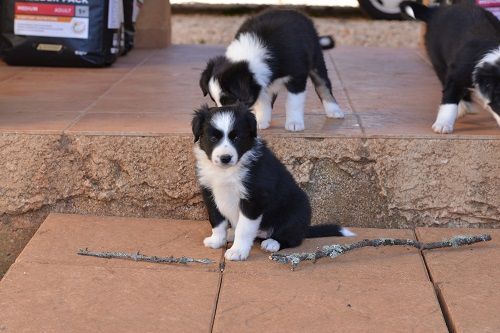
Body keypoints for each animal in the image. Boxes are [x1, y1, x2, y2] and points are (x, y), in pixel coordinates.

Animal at [190, 103, 352, 260]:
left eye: (237, 138)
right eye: (213, 139)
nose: (225, 158)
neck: (225, 172)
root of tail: (305, 229)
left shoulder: (254, 198)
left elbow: (244, 229)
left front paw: (238, 251)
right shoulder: (210, 193)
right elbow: (216, 221)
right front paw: (217, 241)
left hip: (296, 212)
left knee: (292, 238)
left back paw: (272, 243)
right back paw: (232, 233)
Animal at [199, 9, 344, 132]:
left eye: (231, 101)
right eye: (214, 101)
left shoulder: (297, 76)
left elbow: (293, 102)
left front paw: (294, 123)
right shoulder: (260, 83)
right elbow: (263, 102)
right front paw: (260, 121)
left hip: (316, 59)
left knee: (323, 85)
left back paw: (334, 110)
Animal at [400, 1, 500, 134]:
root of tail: (437, 10)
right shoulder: (457, 75)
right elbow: (449, 101)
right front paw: (443, 125)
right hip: (438, 60)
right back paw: (463, 106)